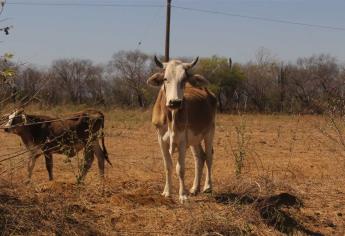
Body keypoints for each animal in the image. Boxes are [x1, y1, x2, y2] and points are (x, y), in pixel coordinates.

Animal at [146, 56, 216, 203]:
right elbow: (168, 165)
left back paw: (207, 186)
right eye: (165, 78)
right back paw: (194, 188)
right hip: (195, 139)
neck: (171, 116)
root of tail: (208, 92)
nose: (175, 102)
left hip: (209, 132)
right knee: (199, 158)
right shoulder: (161, 140)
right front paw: (167, 192)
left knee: (208, 156)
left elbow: (180, 168)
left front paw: (182, 195)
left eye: (184, 79)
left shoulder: (183, 141)